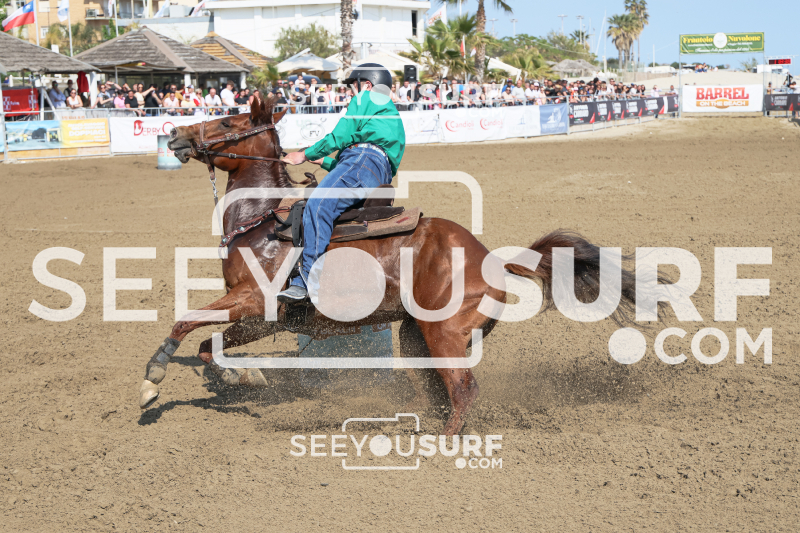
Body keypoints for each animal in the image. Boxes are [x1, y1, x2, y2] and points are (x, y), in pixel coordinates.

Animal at [141, 93, 641, 436]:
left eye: (228, 119)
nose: (176, 135)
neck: (263, 220)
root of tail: (490, 259)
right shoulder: (265, 318)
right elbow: (211, 347)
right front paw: (244, 376)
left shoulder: (253, 300)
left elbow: (185, 323)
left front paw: (154, 378)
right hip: (417, 335)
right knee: (440, 389)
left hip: (444, 334)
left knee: (463, 389)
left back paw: (444, 443)